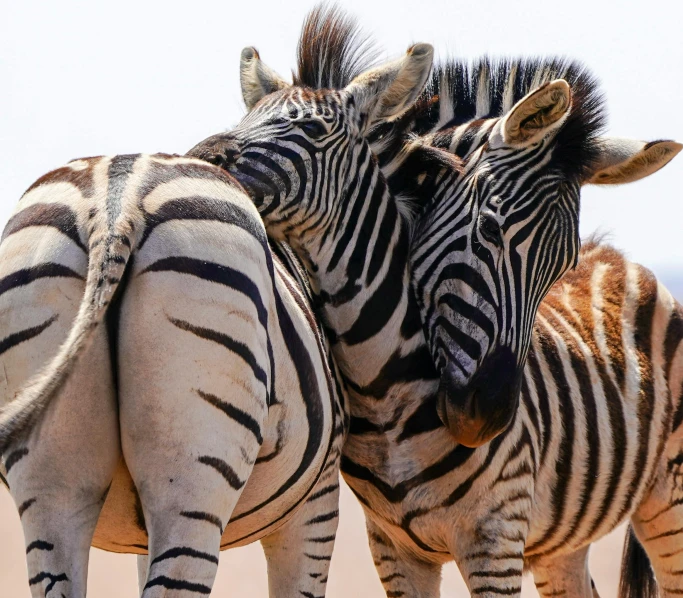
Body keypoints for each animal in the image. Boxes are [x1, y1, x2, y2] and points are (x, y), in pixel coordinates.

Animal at [188, 7, 683, 596]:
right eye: (488, 229)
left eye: (560, 269)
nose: (487, 416)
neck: (383, 394)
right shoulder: (392, 546)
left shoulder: (497, 536)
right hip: (563, 545)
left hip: (670, 501)